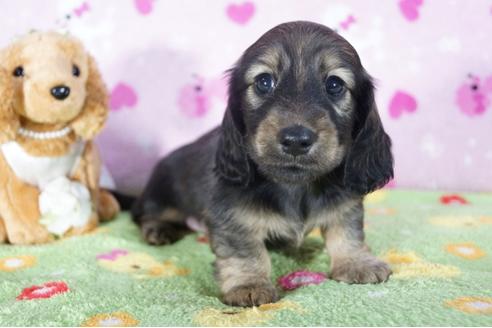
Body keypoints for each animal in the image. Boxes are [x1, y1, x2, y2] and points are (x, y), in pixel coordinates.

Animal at [131, 21, 392, 306]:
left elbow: (346, 232)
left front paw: (357, 262)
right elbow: (246, 251)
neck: (295, 186)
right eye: (264, 82)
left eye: (334, 84)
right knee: (145, 214)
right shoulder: (233, 216)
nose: (296, 140)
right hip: (162, 196)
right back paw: (158, 229)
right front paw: (249, 284)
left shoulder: (345, 204)